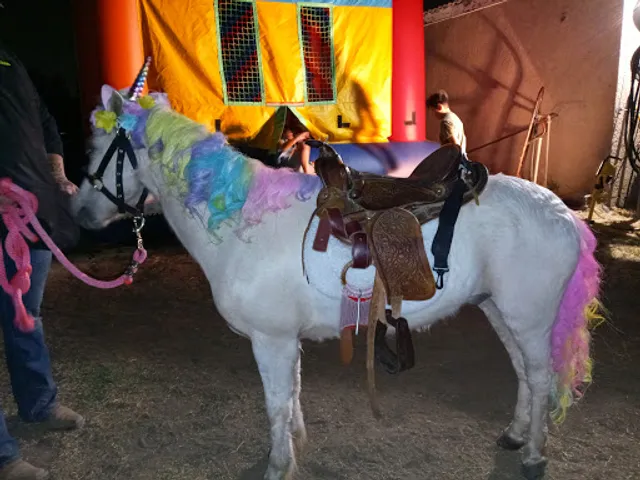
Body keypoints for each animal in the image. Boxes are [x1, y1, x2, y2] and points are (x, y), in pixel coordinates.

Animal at [71, 84, 601, 480]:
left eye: (98, 149)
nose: (77, 214)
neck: (247, 222)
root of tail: (563, 214)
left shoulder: (271, 340)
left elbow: (276, 404)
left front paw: (279, 465)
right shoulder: (285, 341)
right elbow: (292, 396)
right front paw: (295, 447)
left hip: (529, 317)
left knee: (540, 375)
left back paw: (533, 455)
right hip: (499, 309)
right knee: (525, 374)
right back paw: (515, 435)